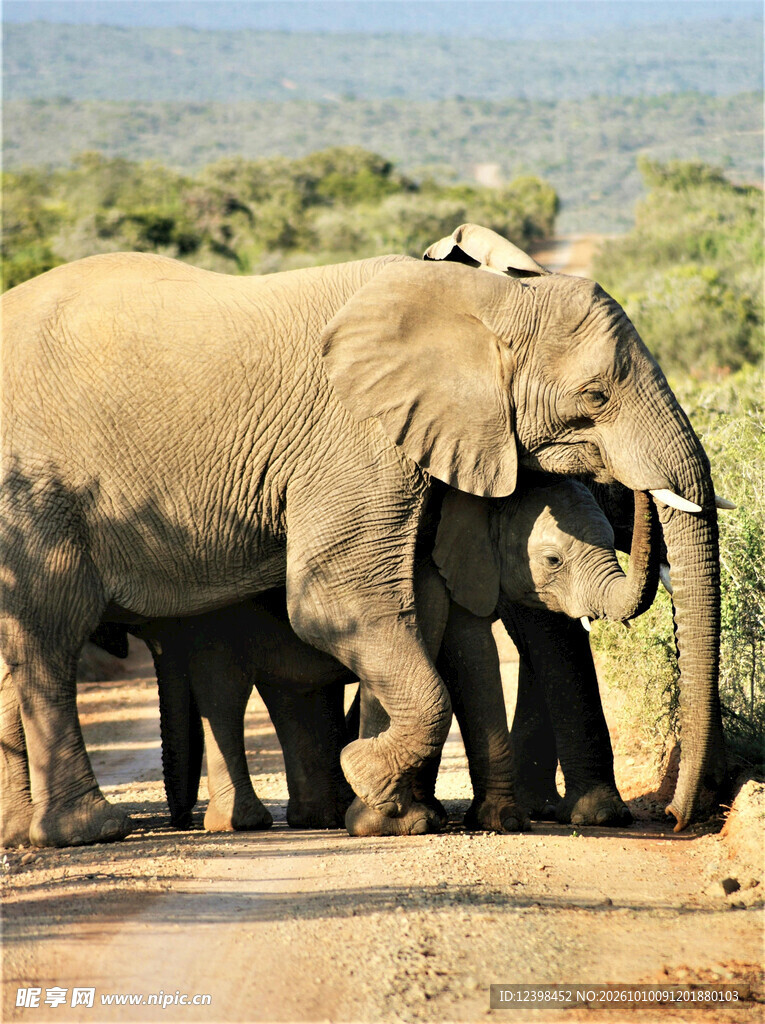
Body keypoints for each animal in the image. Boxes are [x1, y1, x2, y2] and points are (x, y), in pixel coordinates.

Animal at [0, 224, 725, 848]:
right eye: (596, 396)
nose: (675, 818)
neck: (478, 300)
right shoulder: (355, 437)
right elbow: (340, 602)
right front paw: (373, 785)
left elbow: (413, 614)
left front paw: (394, 813)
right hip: (37, 492)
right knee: (50, 635)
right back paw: (90, 831)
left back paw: (22, 834)